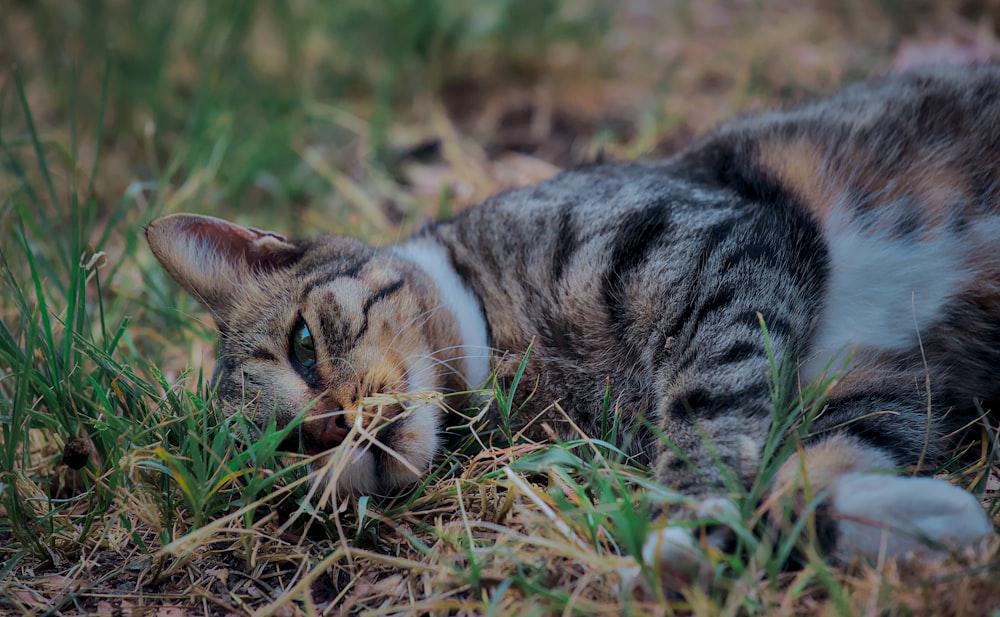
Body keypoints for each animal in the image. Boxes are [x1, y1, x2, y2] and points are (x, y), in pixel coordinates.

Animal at [145, 63, 996, 588]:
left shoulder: (721, 246)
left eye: (303, 345)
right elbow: (807, 473)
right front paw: (928, 524)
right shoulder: (877, 386)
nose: (329, 426)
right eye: (290, 450)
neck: (507, 342)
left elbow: (708, 408)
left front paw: (682, 524)